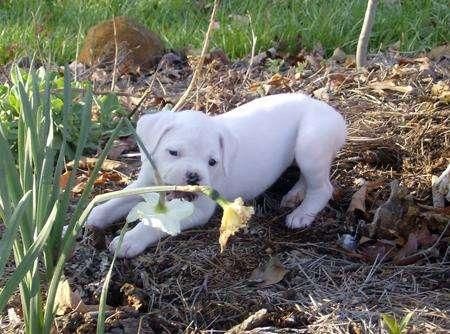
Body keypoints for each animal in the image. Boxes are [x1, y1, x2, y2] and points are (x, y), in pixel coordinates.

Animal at [86, 92, 346, 258]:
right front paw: (96, 214)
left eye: (212, 162)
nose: (193, 177)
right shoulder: (147, 182)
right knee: (307, 178)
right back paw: (295, 195)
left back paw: (302, 213)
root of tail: (334, 113)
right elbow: (122, 197)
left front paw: (130, 239)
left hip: (310, 144)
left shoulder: (198, 209)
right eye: (173, 152)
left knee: (323, 187)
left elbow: (157, 223)